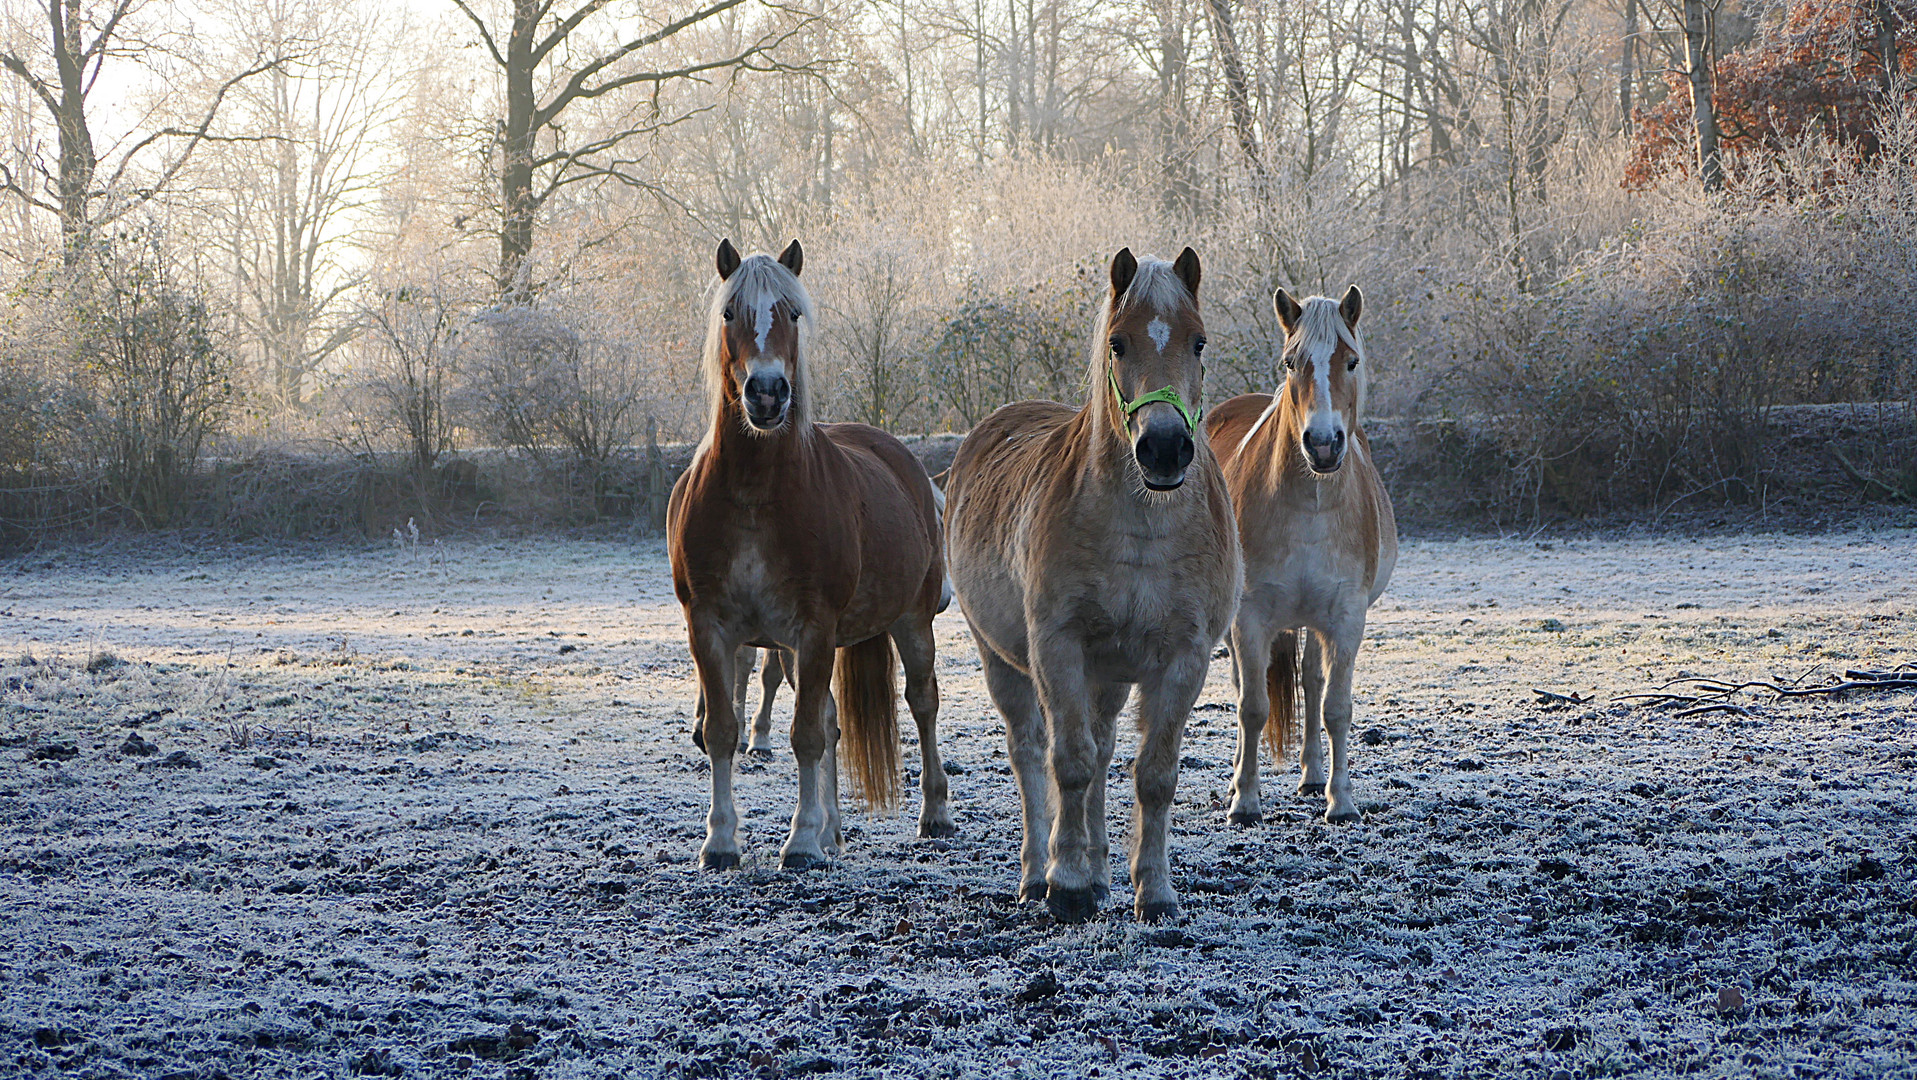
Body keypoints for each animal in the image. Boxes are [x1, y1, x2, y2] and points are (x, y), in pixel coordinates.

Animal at [670, 238, 954, 870]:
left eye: (793, 314)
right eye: (730, 313)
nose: (767, 392)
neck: (753, 494)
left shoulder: (815, 628)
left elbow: (805, 737)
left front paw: (798, 843)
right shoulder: (711, 628)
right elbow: (723, 730)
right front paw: (720, 841)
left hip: (911, 621)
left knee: (921, 703)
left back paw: (934, 814)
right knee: (828, 719)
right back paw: (833, 831)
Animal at [943, 249, 1242, 924]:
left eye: (1199, 341)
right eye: (1117, 344)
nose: (1164, 447)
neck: (1141, 530)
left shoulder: (1184, 658)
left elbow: (1153, 773)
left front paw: (1152, 892)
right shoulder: (1059, 647)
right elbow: (1070, 764)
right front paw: (1069, 883)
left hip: (1109, 673)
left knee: (1104, 750)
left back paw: (1105, 874)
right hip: (1002, 659)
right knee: (1031, 754)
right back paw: (1036, 874)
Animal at [1203, 291, 1403, 824]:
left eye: (1351, 361)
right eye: (1291, 362)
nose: (1323, 443)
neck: (1309, 506)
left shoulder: (1346, 616)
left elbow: (1335, 706)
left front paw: (1342, 801)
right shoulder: (1249, 617)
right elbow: (1252, 707)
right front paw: (1245, 802)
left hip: (1314, 620)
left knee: (1312, 684)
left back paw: (1313, 777)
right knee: (1243, 688)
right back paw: (1236, 781)